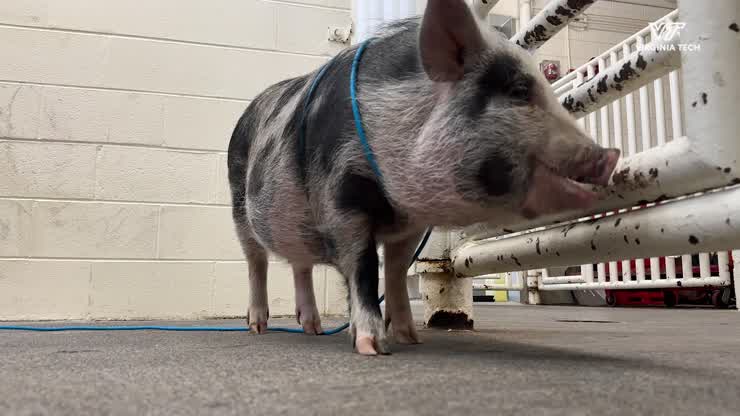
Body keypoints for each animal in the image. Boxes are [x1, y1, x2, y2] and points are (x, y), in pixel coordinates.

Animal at [227, 0, 620, 355]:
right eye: (519, 91)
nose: (610, 155)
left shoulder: (410, 226)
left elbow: (397, 273)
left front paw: (410, 338)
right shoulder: (342, 203)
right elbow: (364, 269)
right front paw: (372, 347)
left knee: (300, 265)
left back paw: (313, 329)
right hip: (238, 207)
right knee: (257, 264)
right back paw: (257, 327)